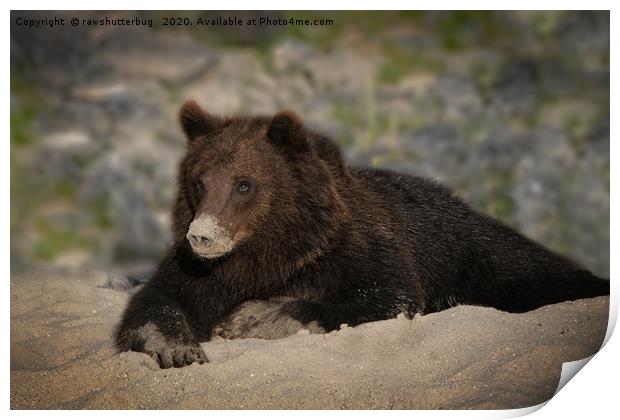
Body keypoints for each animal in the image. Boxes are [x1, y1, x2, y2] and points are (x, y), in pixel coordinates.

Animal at [114, 101, 608, 368]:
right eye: (199, 180)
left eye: (244, 184)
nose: (202, 236)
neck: (269, 250)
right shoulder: (203, 272)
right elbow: (158, 299)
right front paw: (178, 347)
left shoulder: (354, 247)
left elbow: (384, 294)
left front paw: (251, 317)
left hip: (474, 251)